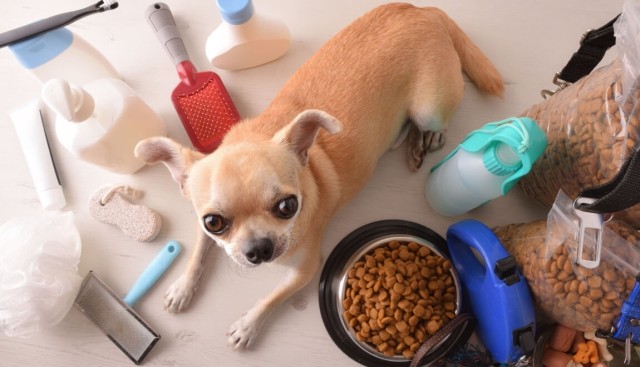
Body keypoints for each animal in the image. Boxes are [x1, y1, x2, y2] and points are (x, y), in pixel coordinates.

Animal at [136, 4, 504, 352]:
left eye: (288, 206)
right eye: (214, 222)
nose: (259, 248)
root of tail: (424, 11)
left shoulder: (305, 269)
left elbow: (272, 297)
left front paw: (248, 325)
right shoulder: (202, 222)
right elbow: (199, 251)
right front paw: (183, 287)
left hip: (429, 107)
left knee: (433, 119)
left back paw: (427, 137)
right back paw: (406, 139)